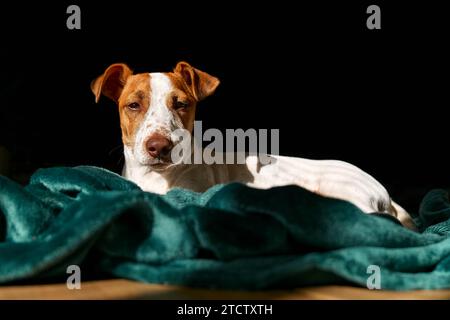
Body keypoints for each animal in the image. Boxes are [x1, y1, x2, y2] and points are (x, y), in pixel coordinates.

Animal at [91, 61, 414, 229]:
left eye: (181, 104)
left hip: (340, 192)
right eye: (133, 105)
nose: (159, 146)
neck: (155, 178)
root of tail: (384, 193)